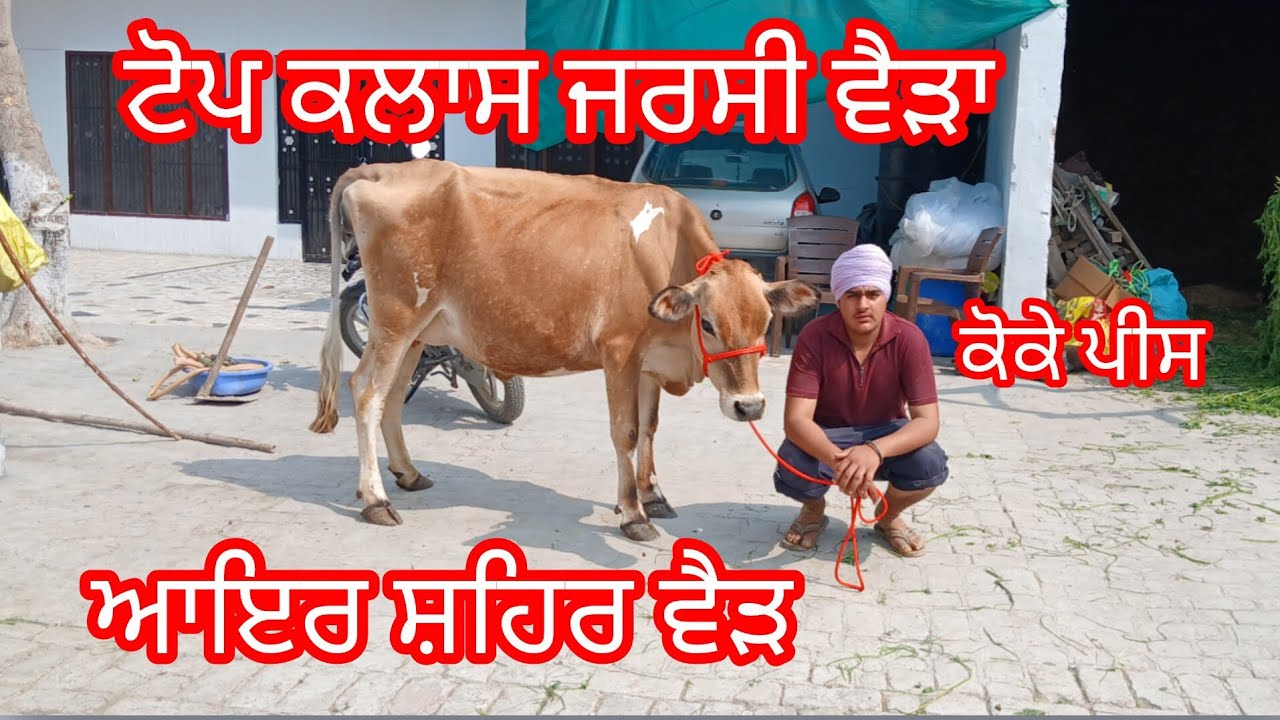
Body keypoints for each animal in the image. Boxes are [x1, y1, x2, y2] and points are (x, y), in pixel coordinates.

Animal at [308, 158, 821, 541]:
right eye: (709, 323)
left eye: (765, 324)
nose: (750, 406)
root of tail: (378, 170)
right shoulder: (619, 353)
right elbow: (626, 432)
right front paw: (633, 514)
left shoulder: (649, 362)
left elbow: (651, 429)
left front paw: (653, 494)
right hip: (394, 320)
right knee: (367, 393)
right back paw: (376, 500)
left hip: (417, 333)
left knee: (392, 398)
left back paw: (408, 474)